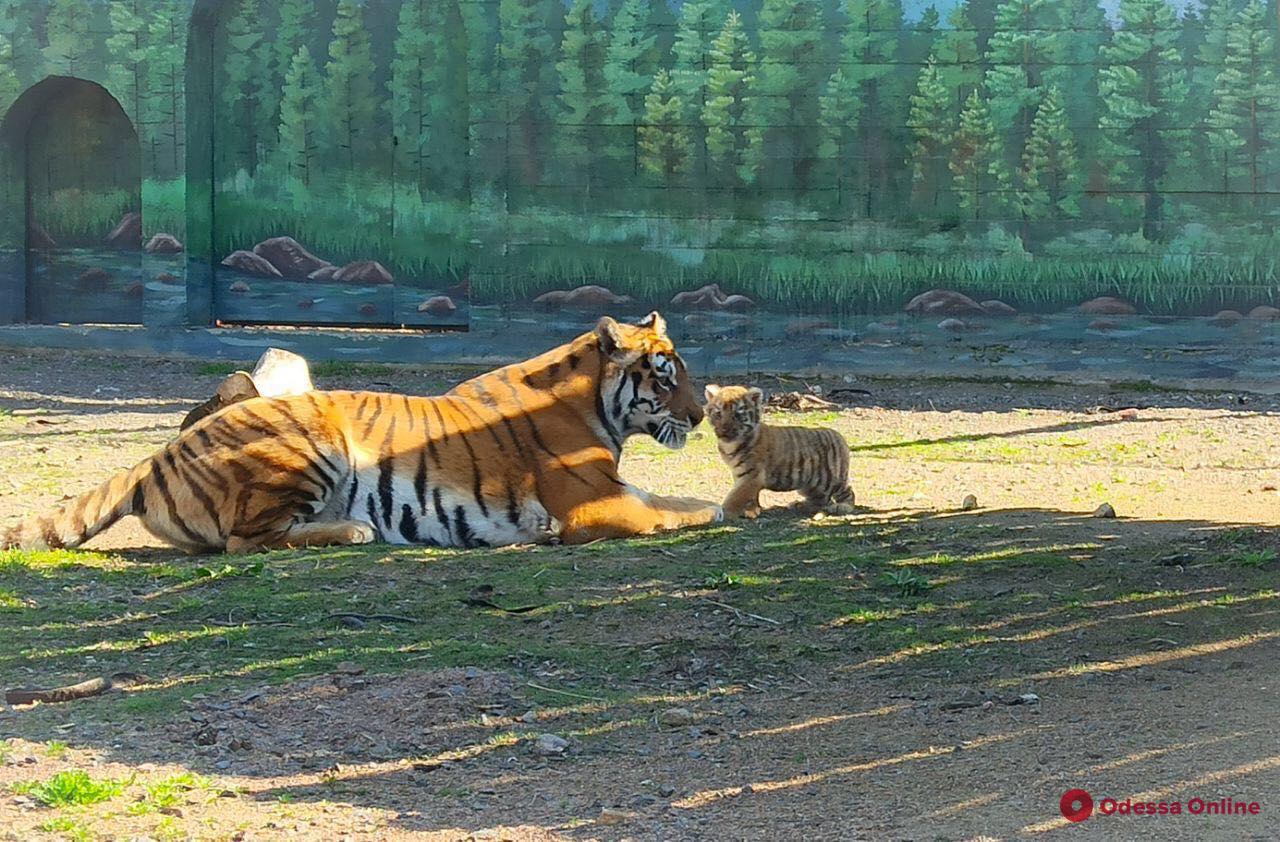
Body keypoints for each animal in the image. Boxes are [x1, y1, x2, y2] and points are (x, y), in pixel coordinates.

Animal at [0, 308, 721, 550]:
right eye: (665, 376)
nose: (700, 412)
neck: (595, 404)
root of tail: (157, 455)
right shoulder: (595, 502)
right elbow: (670, 509)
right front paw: (710, 510)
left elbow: (670, 499)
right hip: (312, 442)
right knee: (245, 541)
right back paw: (351, 530)